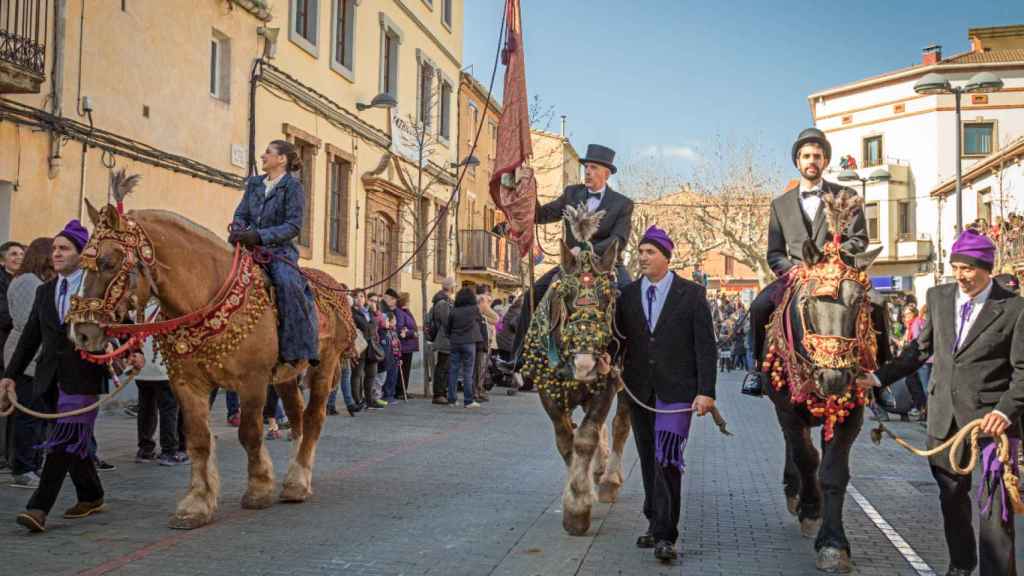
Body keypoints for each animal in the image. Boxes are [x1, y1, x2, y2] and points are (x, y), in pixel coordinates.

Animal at [70, 199, 354, 528]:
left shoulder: (253, 381)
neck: (207, 299)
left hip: (325, 365)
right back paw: (297, 477)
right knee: (296, 417)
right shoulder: (187, 384)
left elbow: (249, 433)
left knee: (313, 417)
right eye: (83, 265)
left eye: (109, 263)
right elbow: (197, 439)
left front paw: (258, 489)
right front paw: (197, 504)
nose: (83, 333)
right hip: (285, 376)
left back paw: (297, 482)